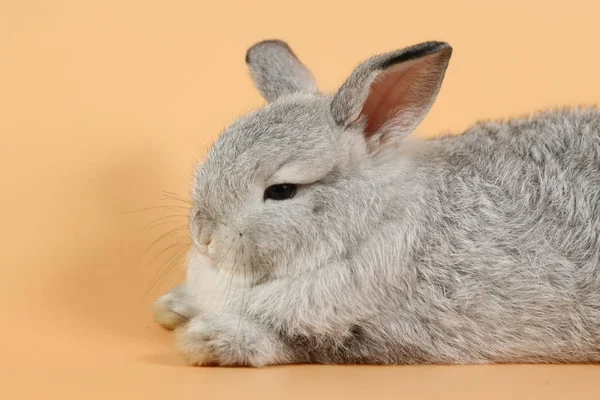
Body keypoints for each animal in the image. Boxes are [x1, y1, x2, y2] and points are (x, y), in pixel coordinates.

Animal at [151, 39, 600, 368]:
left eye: (282, 190)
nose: (203, 235)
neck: (370, 224)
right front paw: (172, 305)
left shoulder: (377, 332)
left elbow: (292, 344)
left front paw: (206, 339)